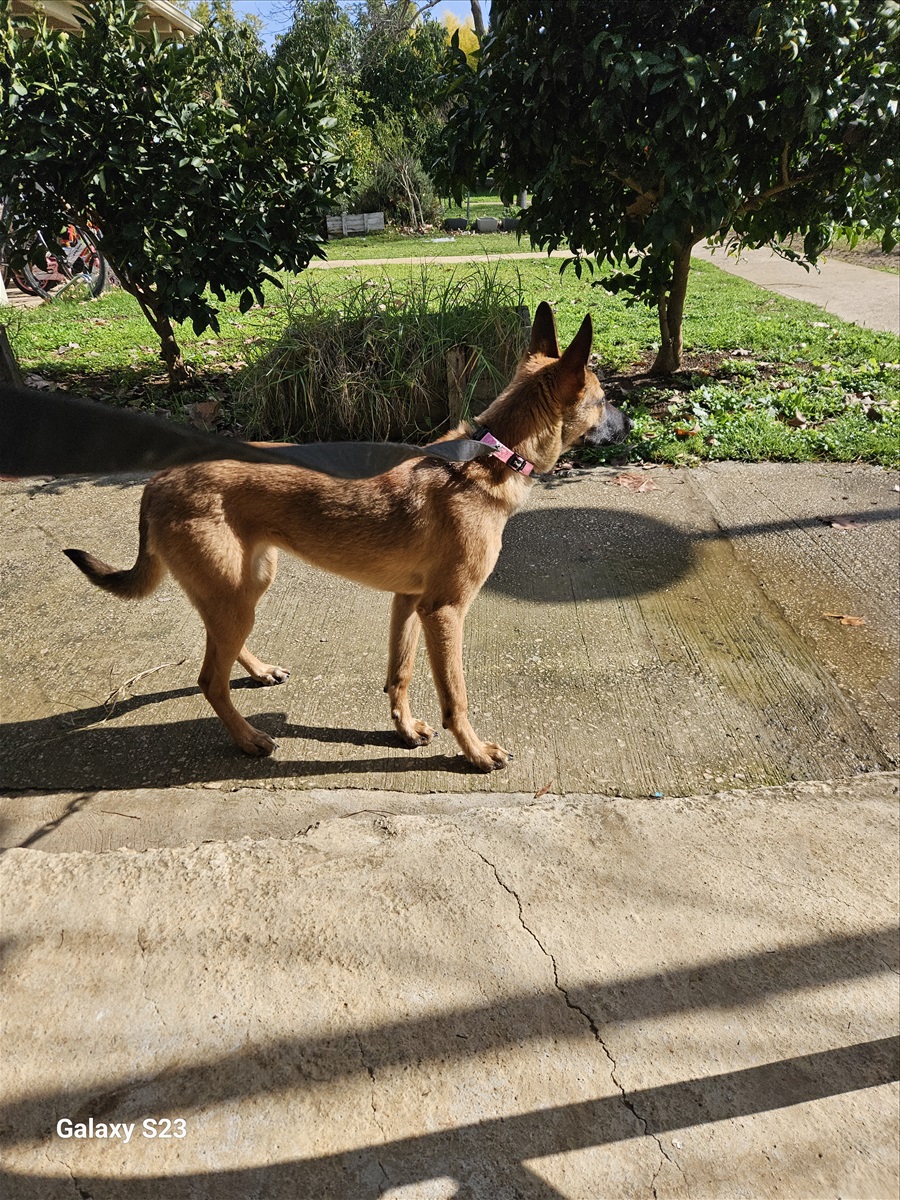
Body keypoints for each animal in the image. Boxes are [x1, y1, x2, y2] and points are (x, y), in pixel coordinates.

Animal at [65, 300, 628, 768]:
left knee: (221, 651)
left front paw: (404, 728)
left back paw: (258, 670)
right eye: (603, 400)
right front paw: (473, 752)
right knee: (209, 680)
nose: (627, 424)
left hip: (246, 584)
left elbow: (399, 674)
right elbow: (456, 696)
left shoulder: (409, 602)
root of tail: (158, 479)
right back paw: (247, 739)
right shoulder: (444, 611)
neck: (490, 457)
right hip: (236, 594)